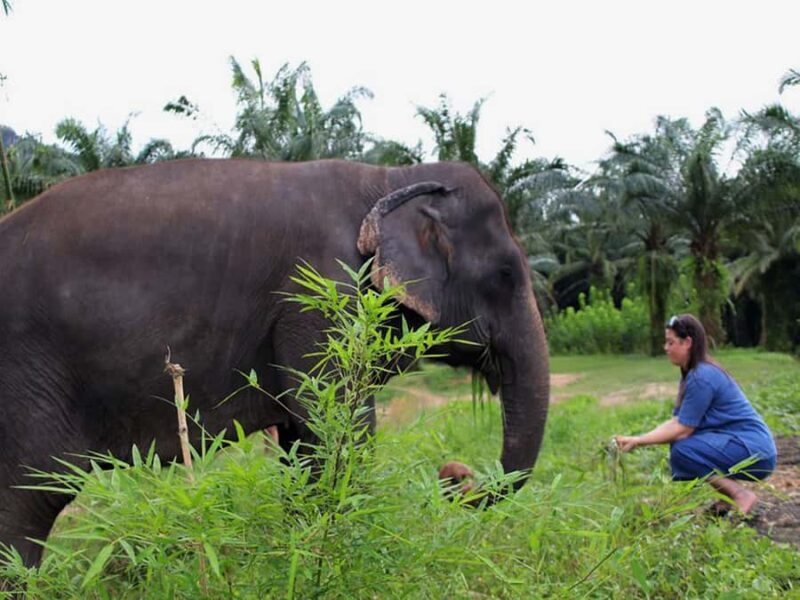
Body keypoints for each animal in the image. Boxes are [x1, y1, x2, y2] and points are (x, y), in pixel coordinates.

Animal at [0, 158, 549, 568]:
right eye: (505, 274)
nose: (455, 476)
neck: (389, 177)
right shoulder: (322, 293)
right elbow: (340, 432)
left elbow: (305, 444)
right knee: (28, 499)